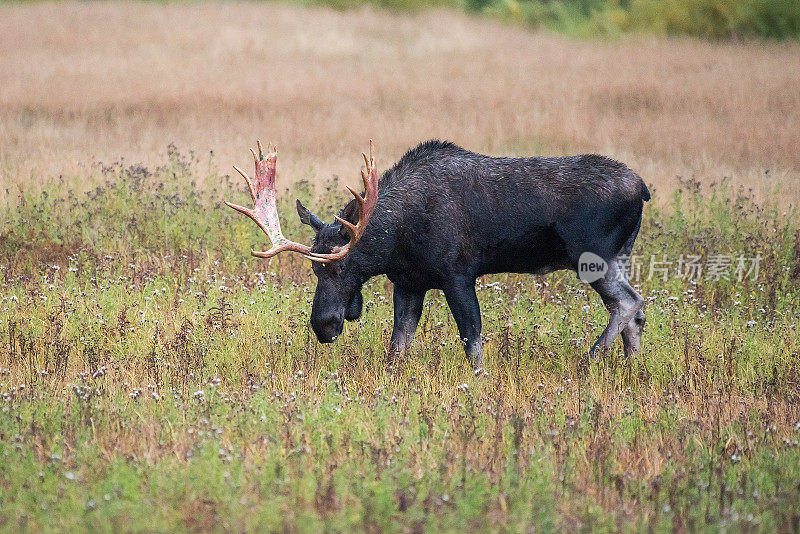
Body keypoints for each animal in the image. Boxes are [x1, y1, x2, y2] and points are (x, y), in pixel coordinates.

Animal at [222, 140, 648, 370]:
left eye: (342, 265)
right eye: (313, 271)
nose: (323, 326)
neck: (397, 241)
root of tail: (642, 189)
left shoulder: (457, 274)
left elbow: (473, 341)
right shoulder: (409, 283)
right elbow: (397, 348)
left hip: (593, 256)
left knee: (629, 303)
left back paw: (591, 359)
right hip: (620, 257)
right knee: (636, 311)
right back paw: (631, 369)